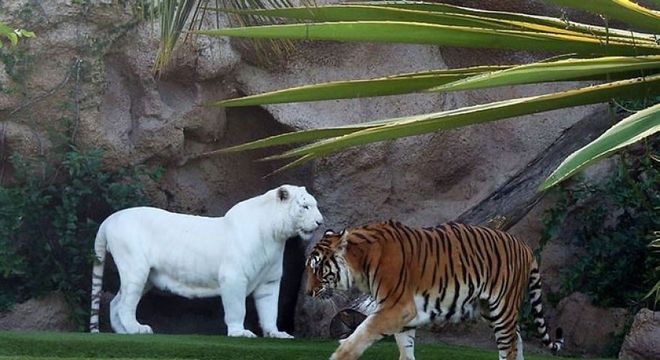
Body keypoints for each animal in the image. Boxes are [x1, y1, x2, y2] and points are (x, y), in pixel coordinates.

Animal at [89, 186, 324, 338]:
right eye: (305, 207)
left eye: (314, 205)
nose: (320, 222)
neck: (275, 235)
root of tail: (109, 219)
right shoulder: (234, 277)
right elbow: (237, 308)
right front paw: (240, 333)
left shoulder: (269, 281)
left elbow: (269, 309)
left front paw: (276, 333)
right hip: (135, 268)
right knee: (125, 304)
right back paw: (137, 329)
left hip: (146, 276)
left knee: (116, 302)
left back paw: (123, 332)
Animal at [306, 219, 564, 360]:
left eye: (317, 269)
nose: (308, 293)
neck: (360, 263)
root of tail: (525, 246)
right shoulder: (404, 316)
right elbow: (405, 349)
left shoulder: (396, 307)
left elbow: (363, 331)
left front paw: (339, 354)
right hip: (488, 308)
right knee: (516, 338)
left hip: (502, 307)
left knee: (508, 346)